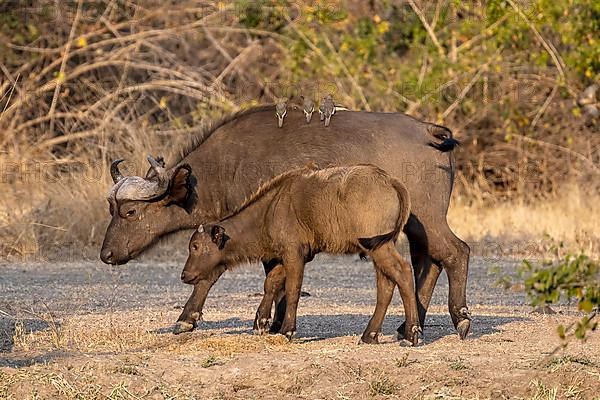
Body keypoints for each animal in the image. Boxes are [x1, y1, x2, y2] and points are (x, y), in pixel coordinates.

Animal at [183, 164, 422, 346]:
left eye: (195, 246)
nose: (184, 275)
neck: (272, 208)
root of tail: (390, 180)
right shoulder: (287, 256)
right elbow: (271, 283)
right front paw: (261, 321)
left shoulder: (294, 254)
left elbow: (292, 289)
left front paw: (286, 330)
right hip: (379, 248)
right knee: (386, 285)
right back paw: (369, 335)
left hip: (380, 247)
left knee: (403, 272)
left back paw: (412, 333)